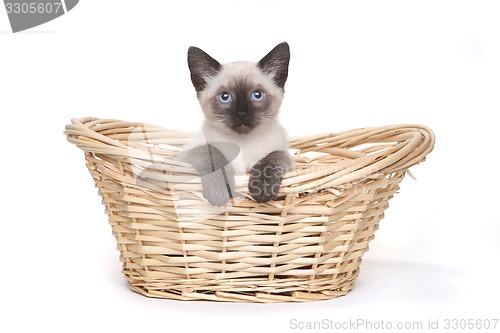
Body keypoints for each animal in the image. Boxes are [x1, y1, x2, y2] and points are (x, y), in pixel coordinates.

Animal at [180, 41, 292, 205]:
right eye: (225, 97)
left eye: (257, 95)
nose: (242, 114)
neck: (243, 142)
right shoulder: (191, 152)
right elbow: (213, 153)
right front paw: (219, 192)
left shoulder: (283, 153)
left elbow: (272, 158)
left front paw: (263, 188)